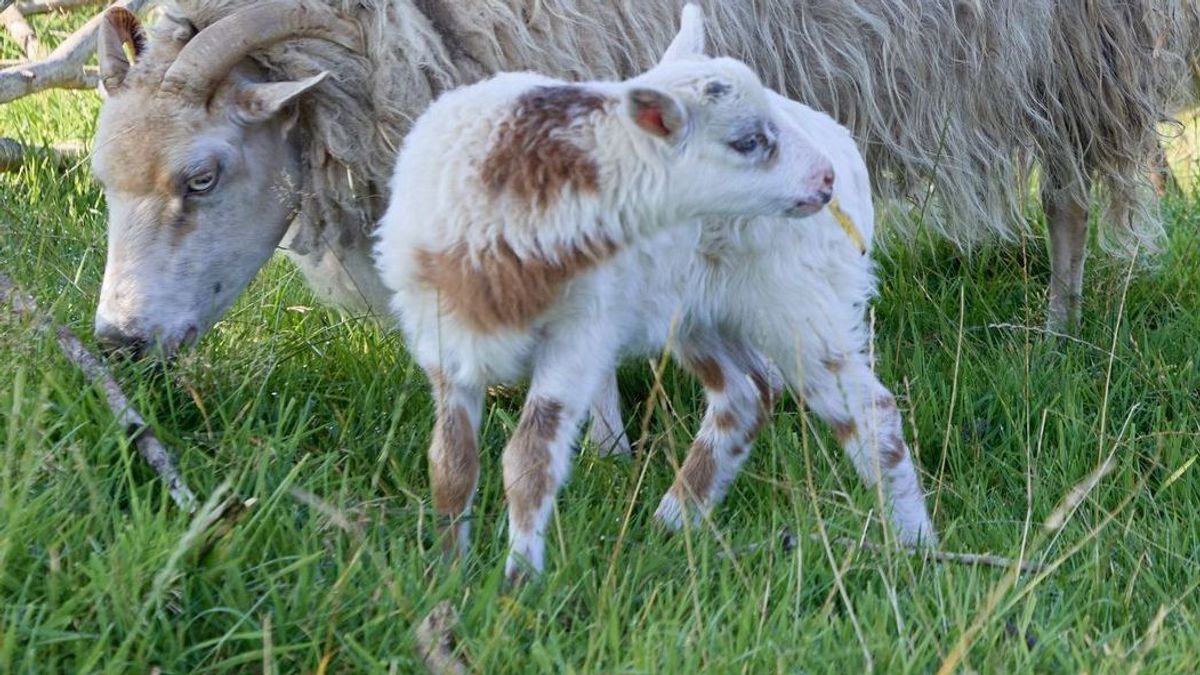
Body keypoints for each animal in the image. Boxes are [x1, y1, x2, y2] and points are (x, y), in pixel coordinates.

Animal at [88, 0, 1195, 357]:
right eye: (104, 181)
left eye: (202, 175)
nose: (117, 341)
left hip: (1074, 46)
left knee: (1066, 192)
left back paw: (1056, 334)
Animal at [374, 5, 936, 578]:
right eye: (747, 141)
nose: (822, 179)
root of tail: (843, 149)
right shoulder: (444, 341)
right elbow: (450, 462)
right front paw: (447, 571)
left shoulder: (580, 338)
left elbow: (530, 458)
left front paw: (518, 581)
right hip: (695, 311)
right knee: (746, 395)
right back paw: (672, 523)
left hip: (797, 302)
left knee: (870, 412)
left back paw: (915, 545)